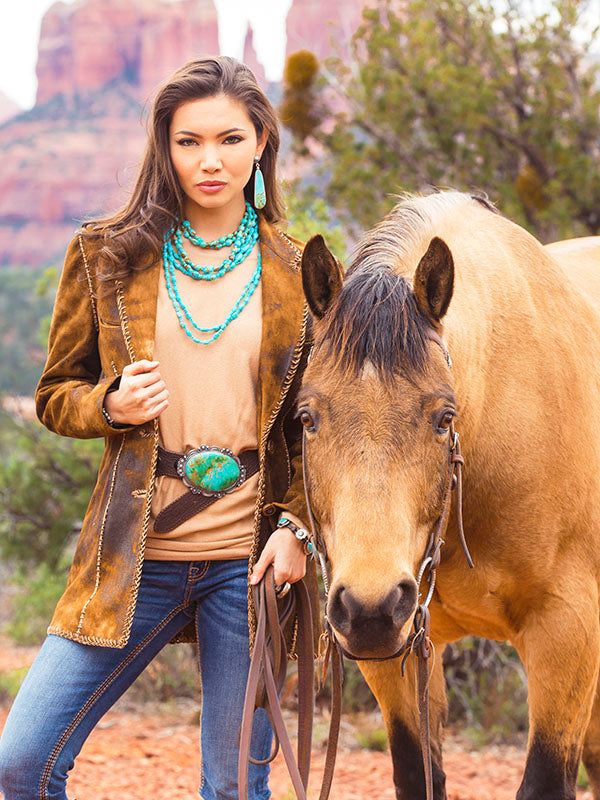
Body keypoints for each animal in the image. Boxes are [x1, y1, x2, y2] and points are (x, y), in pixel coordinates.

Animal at [298, 192, 600, 800]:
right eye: (308, 417)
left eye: (443, 418)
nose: (369, 608)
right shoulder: (401, 650)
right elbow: (420, 774)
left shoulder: (568, 631)